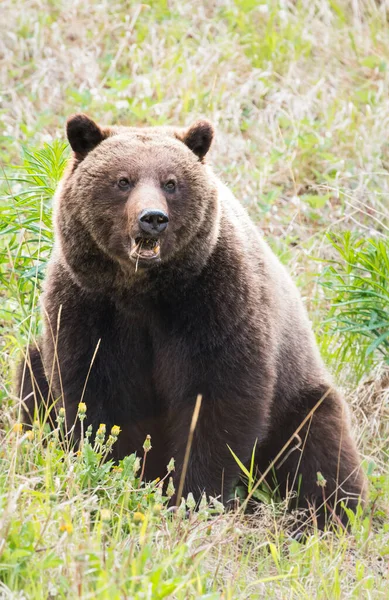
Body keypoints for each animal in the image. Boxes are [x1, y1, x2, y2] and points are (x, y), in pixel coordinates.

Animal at [17, 115, 364, 528]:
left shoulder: (212, 303)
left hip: (298, 395)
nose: (153, 219)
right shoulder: (88, 306)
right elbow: (94, 395)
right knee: (30, 377)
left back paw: (324, 516)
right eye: (123, 180)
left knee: (319, 449)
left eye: (171, 182)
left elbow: (215, 402)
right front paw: (116, 473)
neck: (142, 291)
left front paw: (191, 495)